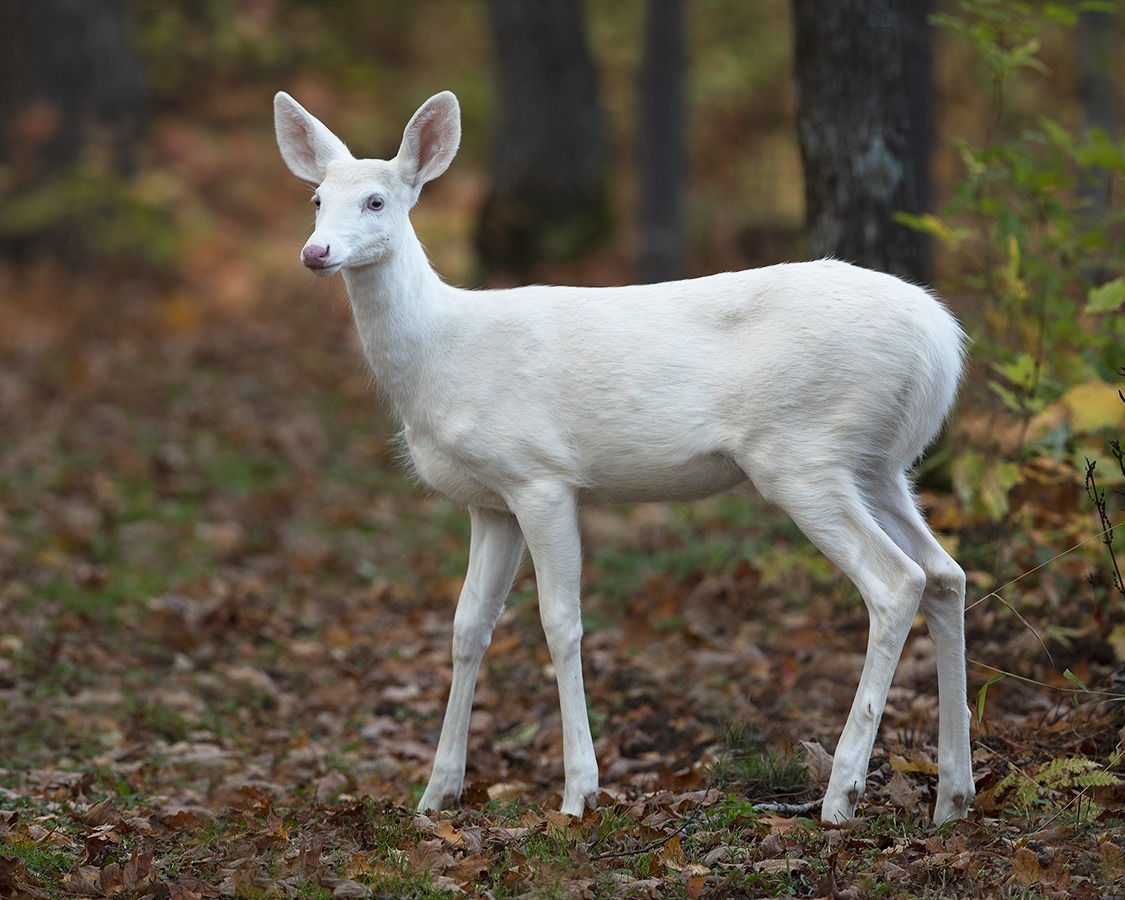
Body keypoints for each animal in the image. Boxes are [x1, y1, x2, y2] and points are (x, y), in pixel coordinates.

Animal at [274, 89, 976, 823]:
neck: (443, 353)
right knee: (946, 574)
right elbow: (469, 626)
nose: (315, 251)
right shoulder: (489, 502)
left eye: (377, 200)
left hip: (802, 453)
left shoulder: (540, 475)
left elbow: (561, 623)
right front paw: (435, 794)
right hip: (878, 465)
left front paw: (577, 793)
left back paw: (841, 795)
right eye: (317, 198)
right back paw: (952, 795)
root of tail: (941, 342)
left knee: (896, 582)